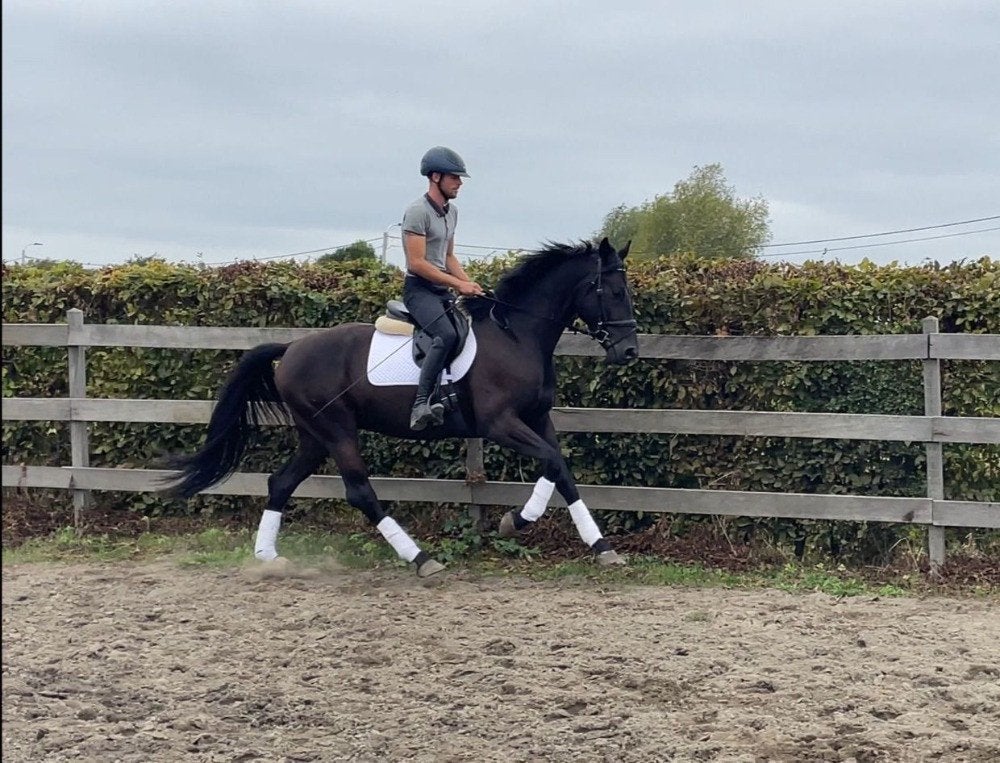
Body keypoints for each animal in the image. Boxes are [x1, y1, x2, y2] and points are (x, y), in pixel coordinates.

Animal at [164, 237, 639, 577]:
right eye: (613, 291)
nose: (630, 352)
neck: (516, 334)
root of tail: (293, 347)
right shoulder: (500, 423)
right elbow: (551, 463)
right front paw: (514, 521)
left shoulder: (537, 419)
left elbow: (562, 470)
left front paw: (602, 548)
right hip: (337, 430)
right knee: (359, 491)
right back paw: (421, 559)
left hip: (314, 436)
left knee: (280, 483)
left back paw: (267, 556)